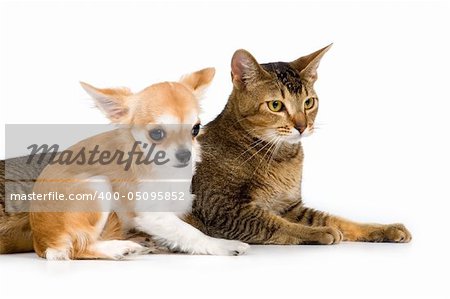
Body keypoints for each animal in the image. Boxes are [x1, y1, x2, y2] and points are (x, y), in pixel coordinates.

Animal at [188, 45, 414, 245]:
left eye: (309, 102)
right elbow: (275, 224)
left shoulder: (291, 208)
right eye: (275, 105)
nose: (302, 126)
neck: (282, 156)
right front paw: (320, 232)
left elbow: (339, 220)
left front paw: (385, 228)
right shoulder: (223, 208)